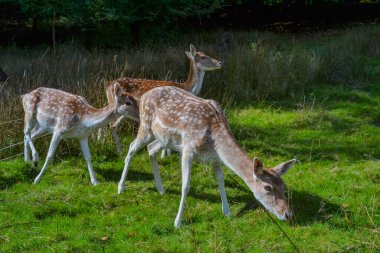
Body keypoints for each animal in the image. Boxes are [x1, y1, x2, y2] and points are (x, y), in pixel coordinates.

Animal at [117, 86, 296, 228]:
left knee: (151, 149)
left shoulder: (215, 158)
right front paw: (177, 222)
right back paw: (121, 187)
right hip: (146, 126)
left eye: (283, 185)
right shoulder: (188, 149)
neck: (214, 140)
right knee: (132, 147)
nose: (288, 214)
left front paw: (228, 212)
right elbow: (186, 185)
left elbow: (220, 181)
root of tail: (143, 96)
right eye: (267, 188)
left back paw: (161, 189)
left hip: (164, 138)